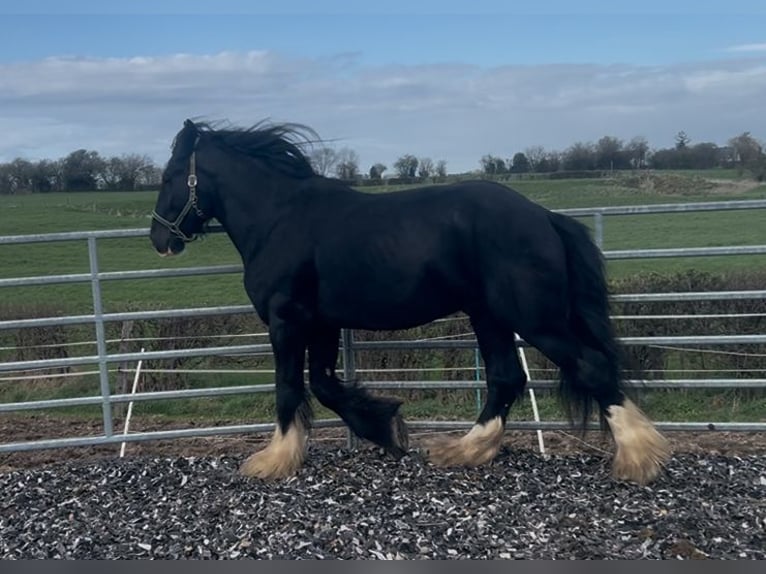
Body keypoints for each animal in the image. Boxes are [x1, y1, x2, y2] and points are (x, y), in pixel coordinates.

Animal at [150, 119, 671, 485]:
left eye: (171, 175)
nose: (159, 238)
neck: (279, 218)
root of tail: (544, 216)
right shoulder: (321, 324)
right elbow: (325, 385)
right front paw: (388, 429)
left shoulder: (287, 321)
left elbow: (290, 389)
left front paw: (272, 460)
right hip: (490, 316)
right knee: (506, 378)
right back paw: (463, 451)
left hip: (533, 318)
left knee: (590, 368)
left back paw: (639, 457)